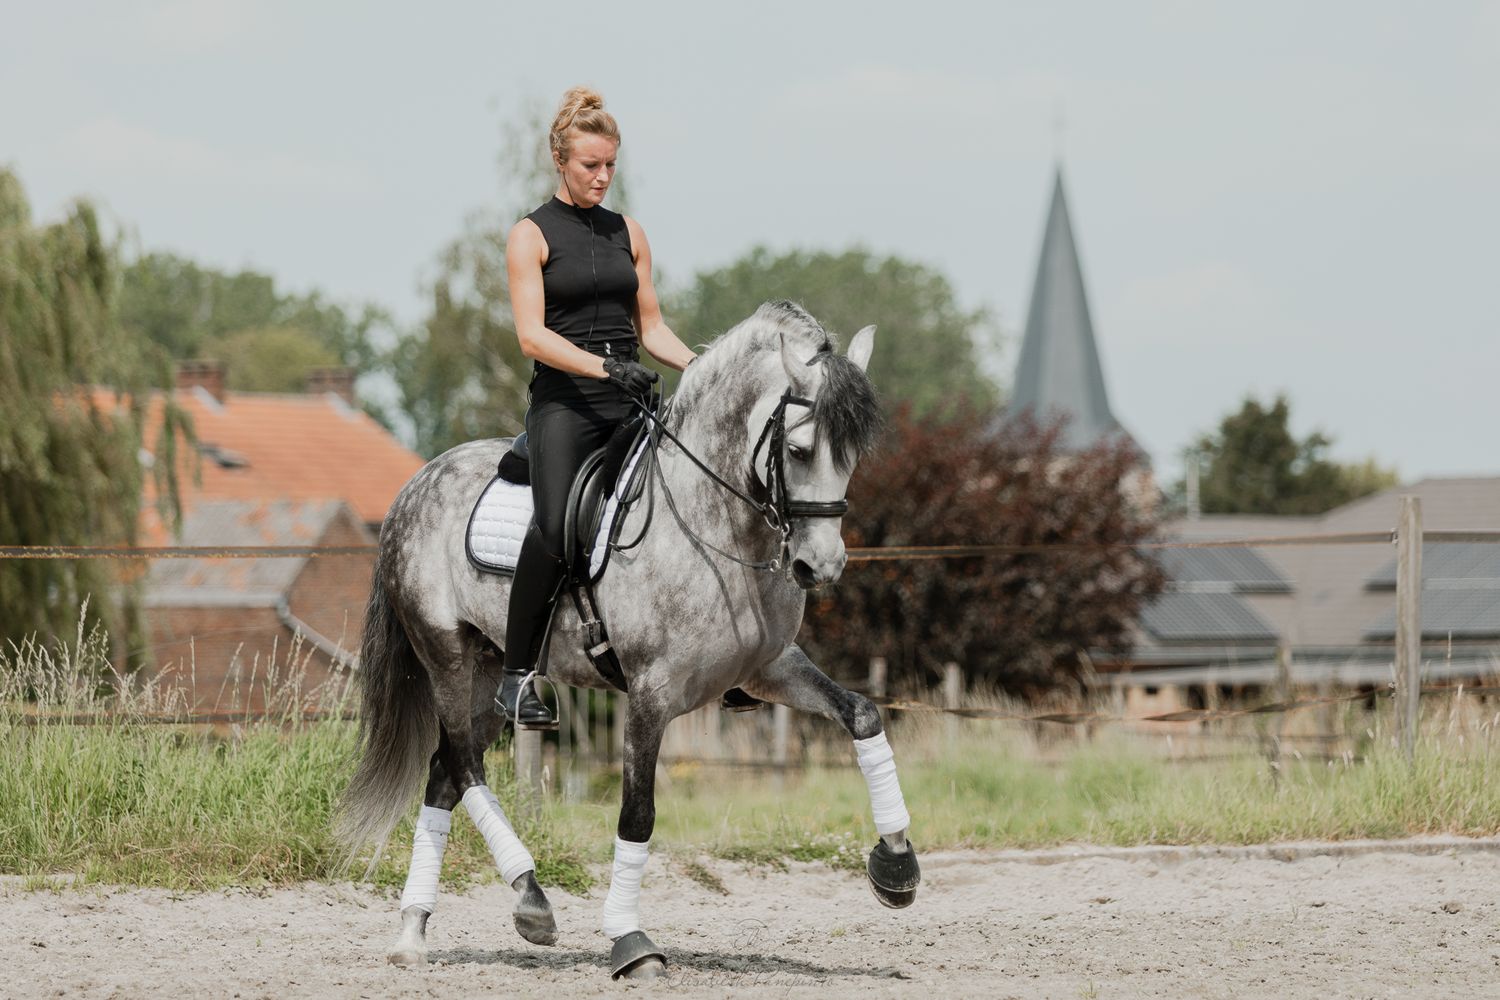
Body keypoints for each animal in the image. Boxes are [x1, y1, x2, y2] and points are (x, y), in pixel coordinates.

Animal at [336, 300, 921, 980]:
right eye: (798, 451)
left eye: (852, 455)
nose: (819, 567)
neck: (718, 525)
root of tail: (417, 482)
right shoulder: (650, 693)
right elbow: (637, 814)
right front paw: (630, 942)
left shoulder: (770, 668)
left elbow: (863, 714)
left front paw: (896, 866)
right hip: (448, 656)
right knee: (464, 764)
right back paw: (530, 901)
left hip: (486, 668)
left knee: (444, 773)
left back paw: (414, 930)